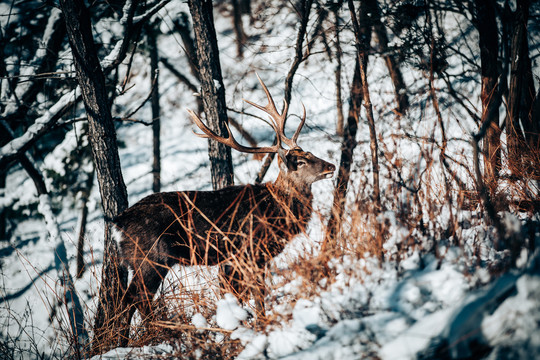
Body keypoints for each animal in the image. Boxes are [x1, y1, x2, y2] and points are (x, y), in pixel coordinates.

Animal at [114, 75, 334, 332]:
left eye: (310, 153)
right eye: (300, 162)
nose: (331, 166)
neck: (276, 210)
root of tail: (120, 221)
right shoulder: (248, 251)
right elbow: (254, 293)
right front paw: (256, 323)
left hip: (141, 261)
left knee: (130, 299)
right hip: (151, 257)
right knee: (137, 297)